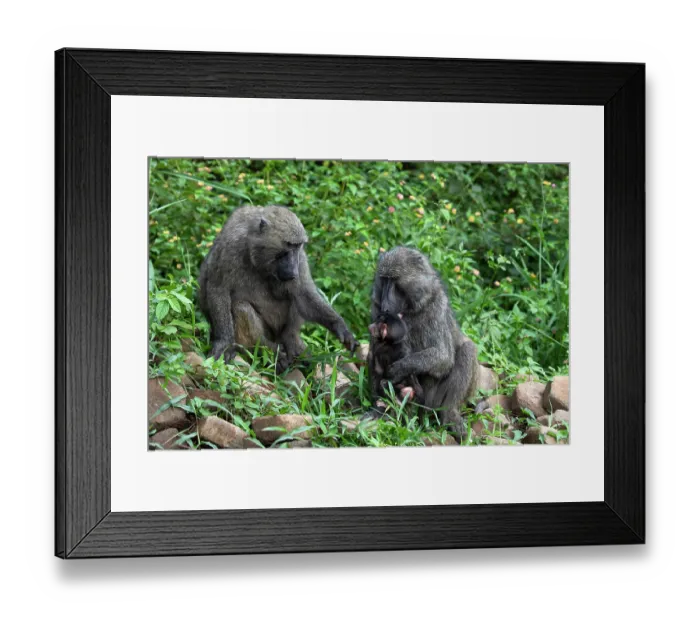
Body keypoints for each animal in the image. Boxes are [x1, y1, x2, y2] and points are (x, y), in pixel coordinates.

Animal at [198, 205, 357, 372]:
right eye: (288, 244)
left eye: (298, 246)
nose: (293, 271)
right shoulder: (230, 247)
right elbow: (218, 289)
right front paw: (225, 343)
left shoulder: (301, 259)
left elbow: (304, 296)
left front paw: (340, 328)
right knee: (241, 307)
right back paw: (269, 350)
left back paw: (292, 343)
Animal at [366, 247, 479, 441]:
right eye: (384, 279)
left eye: (394, 280)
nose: (386, 305)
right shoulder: (376, 308)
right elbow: (376, 351)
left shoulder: (436, 307)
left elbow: (443, 356)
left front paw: (400, 368)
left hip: (434, 401)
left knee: (467, 350)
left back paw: (449, 414)